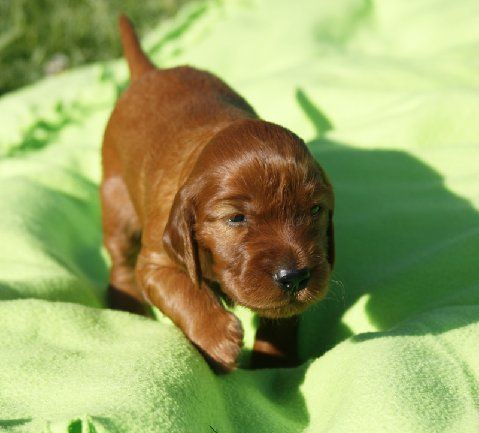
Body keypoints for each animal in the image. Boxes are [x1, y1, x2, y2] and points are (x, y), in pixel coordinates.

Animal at [101, 15, 335, 371]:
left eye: (314, 210)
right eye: (235, 218)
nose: (294, 277)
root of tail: (151, 72)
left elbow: (282, 316)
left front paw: (273, 363)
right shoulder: (156, 261)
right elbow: (183, 291)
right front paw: (216, 337)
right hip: (117, 201)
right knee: (119, 260)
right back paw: (126, 304)